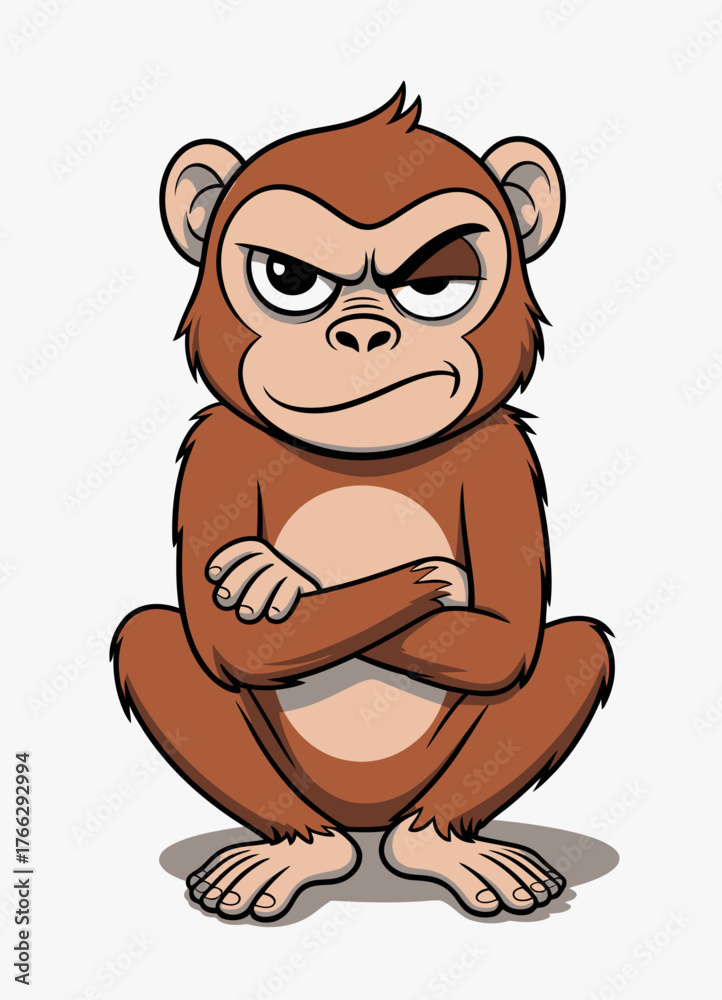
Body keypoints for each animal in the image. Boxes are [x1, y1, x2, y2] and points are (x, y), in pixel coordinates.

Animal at [112, 86, 614, 922]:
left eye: (435, 284)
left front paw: (414, 579)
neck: (364, 459)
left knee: (574, 648)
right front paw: (270, 578)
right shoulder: (217, 446)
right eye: (289, 277)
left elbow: (504, 635)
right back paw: (296, 850)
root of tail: (366, 818)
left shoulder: (503, 453)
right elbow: (225, 635)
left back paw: (442, 844)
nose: (364, 332)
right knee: (154, 638)